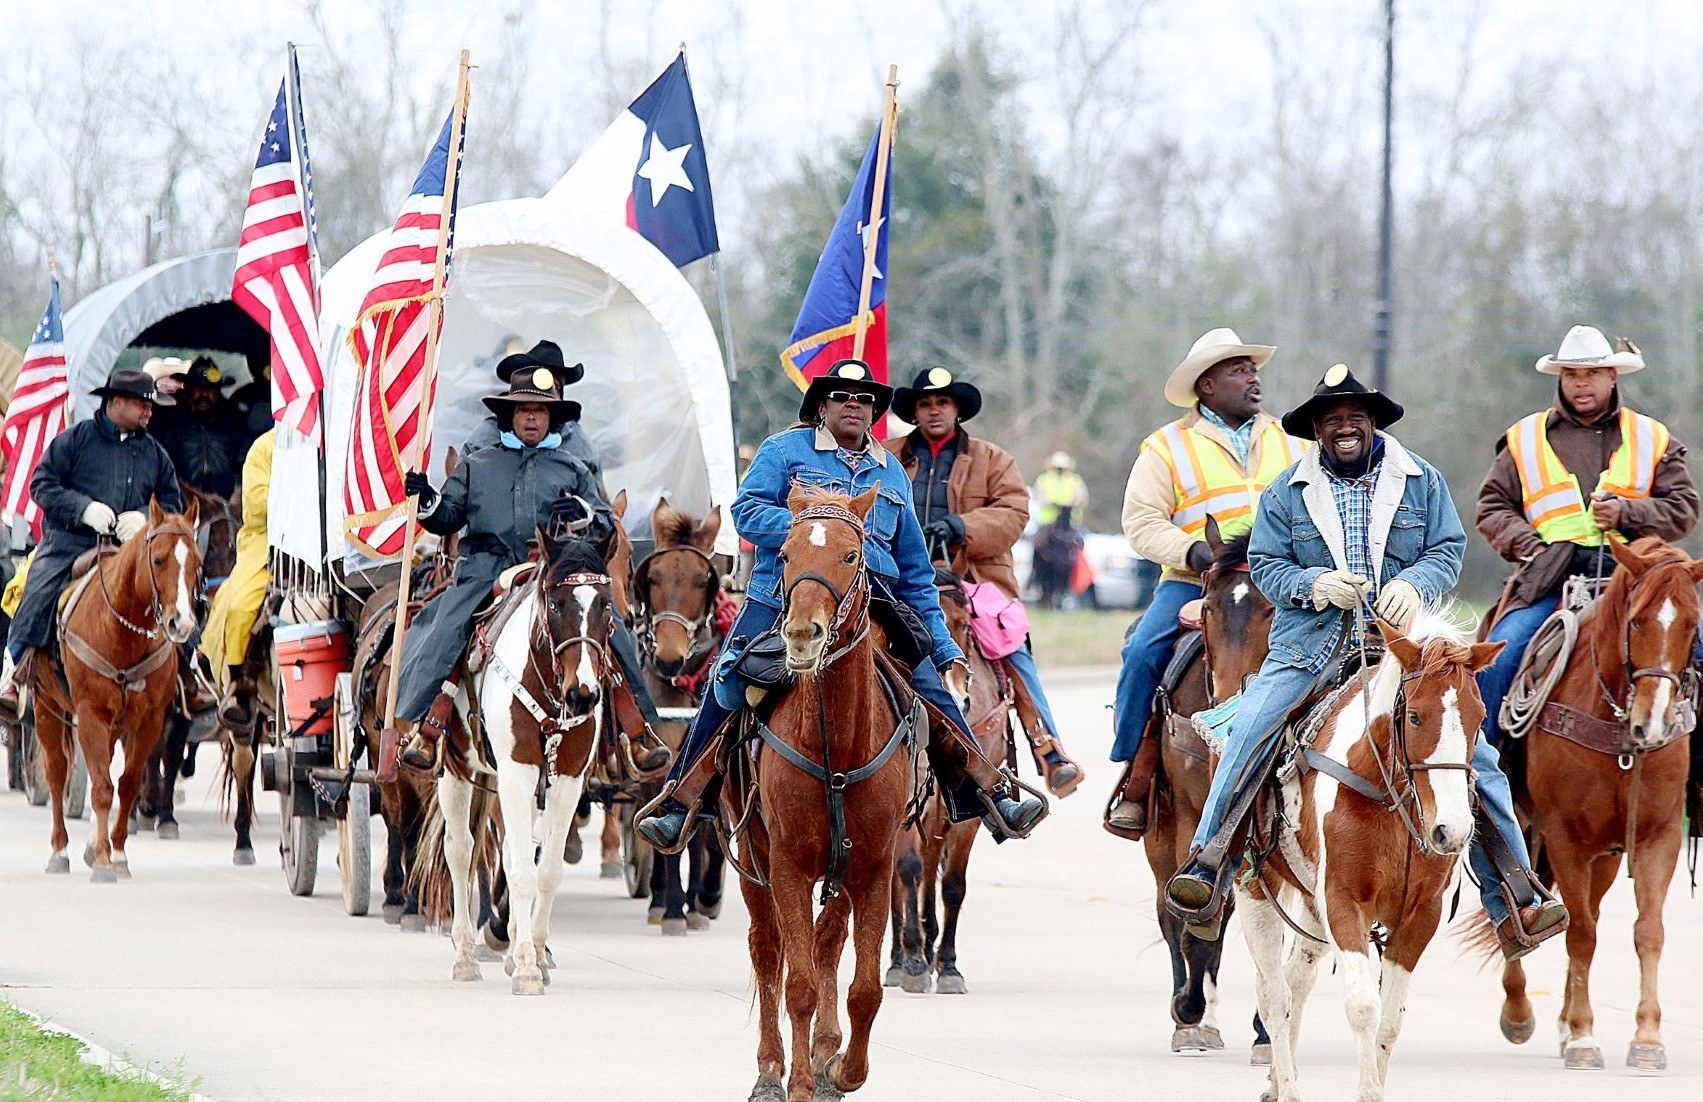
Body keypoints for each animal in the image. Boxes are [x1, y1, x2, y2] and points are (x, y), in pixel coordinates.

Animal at [31, 504, 200, 885]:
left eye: (197, 562)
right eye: (158, 560)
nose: (181, 624)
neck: (123, 633)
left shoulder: (149, 722)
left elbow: (127, 784)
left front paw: (117, 853)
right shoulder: (91, 716)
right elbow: (102, 789)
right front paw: (104, 862)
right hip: (45, 707)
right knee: (56, 774)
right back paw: (59, 850)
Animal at [735, 490, 919, 1102]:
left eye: (850, 555)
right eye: (786, 553)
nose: (801, 635)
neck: (836, 745)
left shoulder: (875, 867)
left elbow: (864, 988)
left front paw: (841, 1068)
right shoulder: (788, 865)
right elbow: (798, 985)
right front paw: (797, 1083)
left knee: (827, 942)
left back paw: (823, 1049)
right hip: (752, 859)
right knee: (768, 949)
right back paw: (771, 1068)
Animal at [1137, 524, 1273, 1062]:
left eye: (1270, 607)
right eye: (1210, 607)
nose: (1233, 689)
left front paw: (1265, 1030)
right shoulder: (1192, 816)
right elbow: (1193, 912)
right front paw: (1190, 1010)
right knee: (1170, 910)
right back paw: (1191, 1014)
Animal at [1239, 613, 1505, 1102]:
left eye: (1479, 717)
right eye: (1415, 716)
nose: (1452, 830)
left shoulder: (1420, 915)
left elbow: (1391, 1020)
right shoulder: (1343, 902)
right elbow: (1364, 1007)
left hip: (1310, 905)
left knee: (1296, 981)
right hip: (1255, 892)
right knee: (1273, 994)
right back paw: (1287, 1086)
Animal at [1478, 538, 1703, 1076]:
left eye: (1692, 624)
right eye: (1637, 622)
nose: (1652, 723)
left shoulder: (1658, 836)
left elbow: (1648, 931)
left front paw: (1647, 1039)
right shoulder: (1566, 837)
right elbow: (1578, 933)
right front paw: (1583, 1038)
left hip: (1605, 856)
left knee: (1593, 913)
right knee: (1521, 905)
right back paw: (1520, 1011)